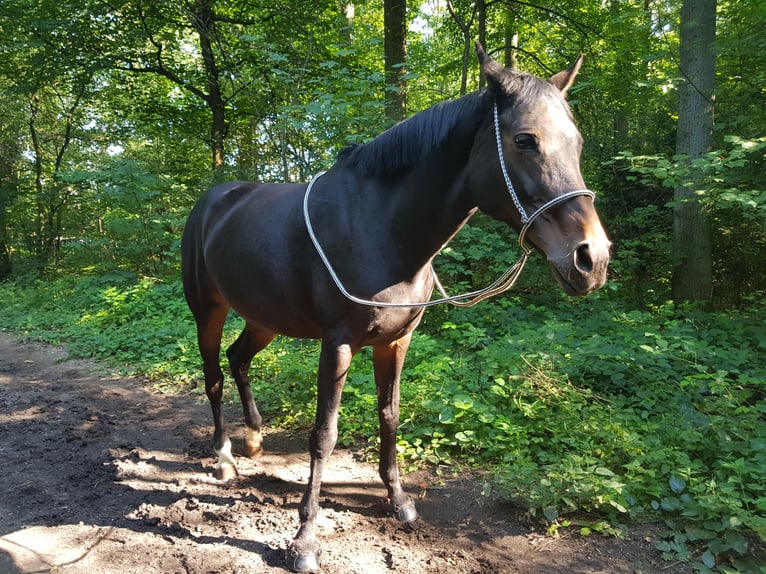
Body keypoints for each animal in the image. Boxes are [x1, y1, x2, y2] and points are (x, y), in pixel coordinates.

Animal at [182, 46, 612, 574]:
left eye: (577, 143)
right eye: (525, 140)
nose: (592, 258)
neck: (381, 228)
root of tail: (212, 200)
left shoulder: (396, 341)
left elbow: (390, 415)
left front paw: (399, 499)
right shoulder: (338, 343)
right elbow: (324, 434)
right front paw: (305, 539)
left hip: (264, 318)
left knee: (238, 359)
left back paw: (255, 438)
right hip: (209, 311)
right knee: (214, 376)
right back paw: (224, 458)